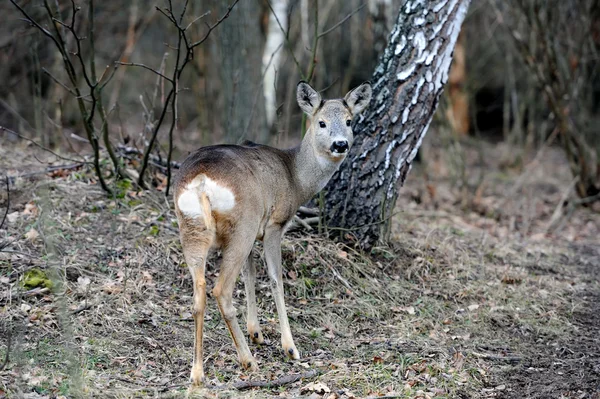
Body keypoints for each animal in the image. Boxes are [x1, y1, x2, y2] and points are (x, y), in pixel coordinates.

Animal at [171, 80, 372, 384]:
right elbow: (276, 280)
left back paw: (197, 373)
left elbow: (251, 275)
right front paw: (290, 347)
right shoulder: (274, 224)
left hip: (193, 228)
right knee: (221, 290)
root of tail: (202, 181)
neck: (295, 178)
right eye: (322, 122)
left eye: (349, 121)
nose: (341, 144)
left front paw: (256, 332)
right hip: (242, 223)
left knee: (199, 294)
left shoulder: (256, 232)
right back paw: (248, 361)